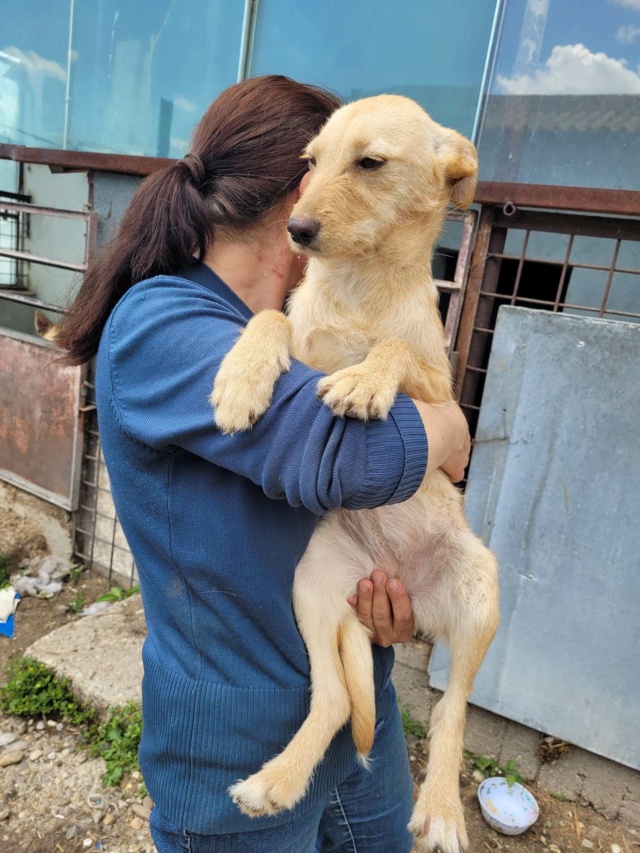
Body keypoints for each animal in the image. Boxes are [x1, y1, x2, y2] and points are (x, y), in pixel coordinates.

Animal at [211, 95, 500, 852]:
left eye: (370, 162)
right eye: (310, 163)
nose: (297, 229)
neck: (358, 288)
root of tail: (404, 583)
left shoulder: (443, 394)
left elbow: (396, 349)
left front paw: (365, 382)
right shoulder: (301, 334)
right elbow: (266, 317)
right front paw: (241, 380)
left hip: (479, 588)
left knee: (455, 709)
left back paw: (442, 810)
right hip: (312, 584)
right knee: (339, 698)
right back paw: (275, 782)